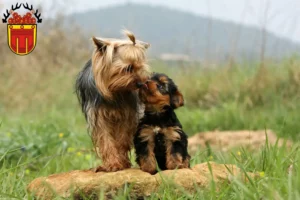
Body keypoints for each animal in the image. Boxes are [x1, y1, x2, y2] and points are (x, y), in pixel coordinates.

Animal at [75, 30, 150, 172]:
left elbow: (123, 138)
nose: (140, 83)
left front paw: (122, 161)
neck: (115, 89)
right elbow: (106, 140)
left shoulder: (128, 114)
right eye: (128, 68)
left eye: (140, 68)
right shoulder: (98, 117)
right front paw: (113, 163)